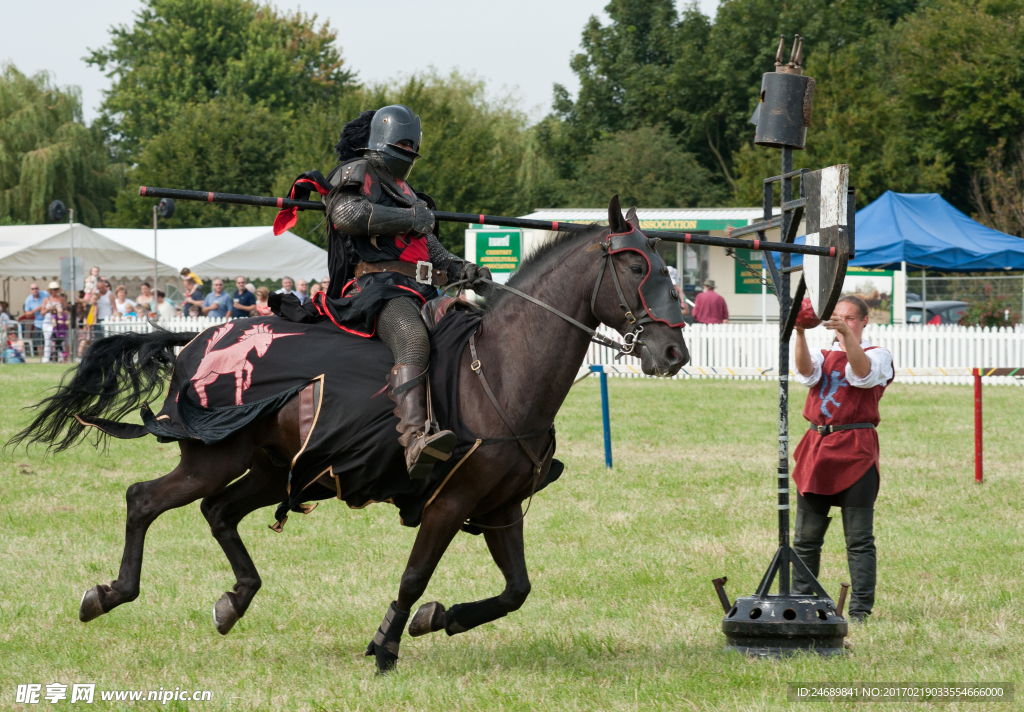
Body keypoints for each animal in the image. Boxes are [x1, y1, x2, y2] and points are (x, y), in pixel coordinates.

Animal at [9, 196, 688, 672]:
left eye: (665, 265)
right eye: (635, 264)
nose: (673, 352)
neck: (497, 369)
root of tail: (196, 338)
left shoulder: (500, 508)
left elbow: (516, 590)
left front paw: (438, 620)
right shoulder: (452, 503)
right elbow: (415, 576)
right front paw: (387, 642)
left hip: (272, 469)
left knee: (217, 511)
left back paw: (236, 598)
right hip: (212, 457)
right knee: (144, 500)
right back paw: (111, 593)